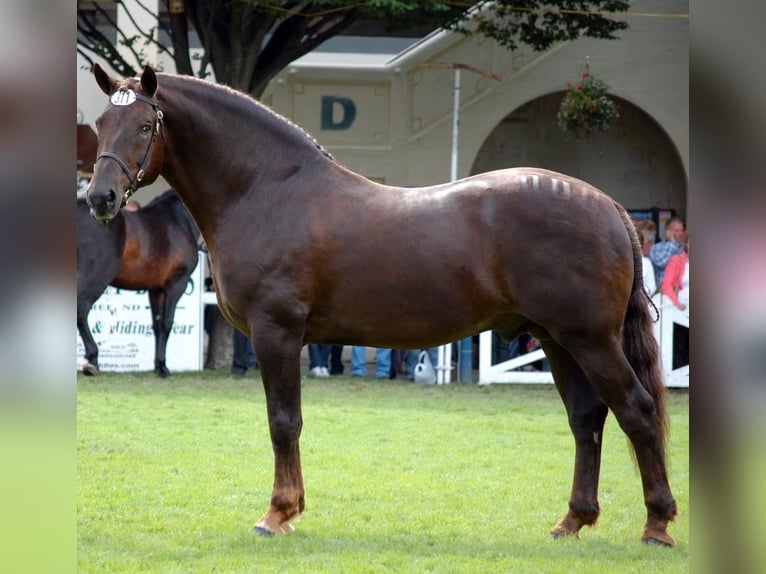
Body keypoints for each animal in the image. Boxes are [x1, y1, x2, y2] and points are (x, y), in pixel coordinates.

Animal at [76, 189, 198, 378]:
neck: (179, 221)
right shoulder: (177, 284)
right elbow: (166, 323)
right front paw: (163, 368)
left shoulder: (156, 289)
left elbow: (157, 324)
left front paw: (157, 366)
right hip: (97, 277)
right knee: (81, 309)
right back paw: (92, 360)